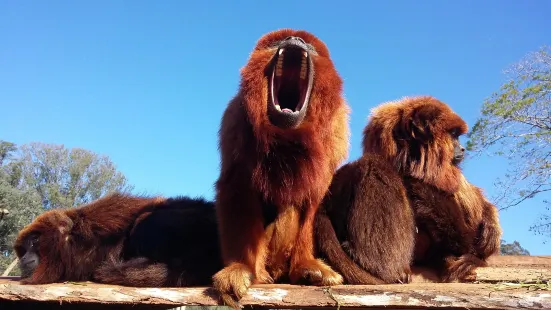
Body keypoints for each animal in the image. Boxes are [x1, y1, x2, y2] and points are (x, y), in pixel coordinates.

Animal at [212, 29, 350, 308]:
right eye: (277, 42)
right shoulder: (234, 119)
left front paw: (306, 265)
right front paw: (240, 267)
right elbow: (235, 187)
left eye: (309, 46)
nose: (295, 40)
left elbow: (312, 198)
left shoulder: (337, 130)